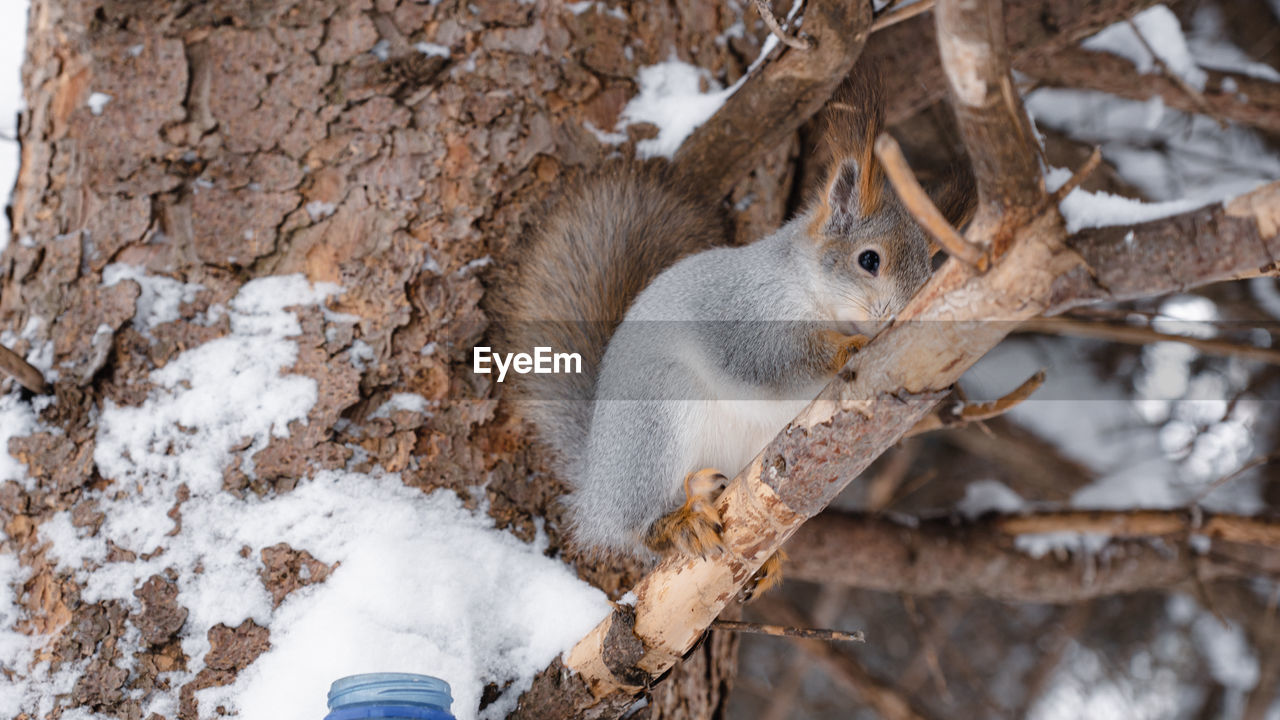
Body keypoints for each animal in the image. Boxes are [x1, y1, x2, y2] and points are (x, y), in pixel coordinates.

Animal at [499, 67, 967, 584]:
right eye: (869, 260)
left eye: (926, 279)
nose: (900, 314)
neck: (814, 295)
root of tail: (596, 481)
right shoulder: (740, 314)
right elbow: (767, 360)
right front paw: (849, 347)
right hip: (657, 413)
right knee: (634, 525)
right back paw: (675, 523)